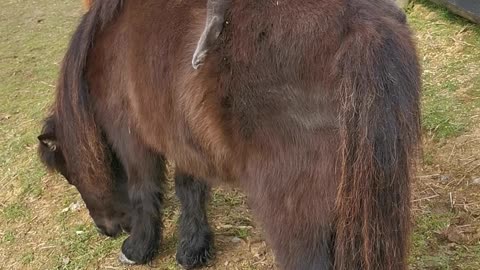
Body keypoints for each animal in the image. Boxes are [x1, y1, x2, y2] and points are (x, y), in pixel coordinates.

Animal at [37, 1, 420, 268]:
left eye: (70, 175)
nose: (107, 229)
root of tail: (360, 27)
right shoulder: (182, 133)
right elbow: (189, 186)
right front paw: (192, 248)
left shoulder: (131, 138)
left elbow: (143, 188)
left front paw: (139, 248)